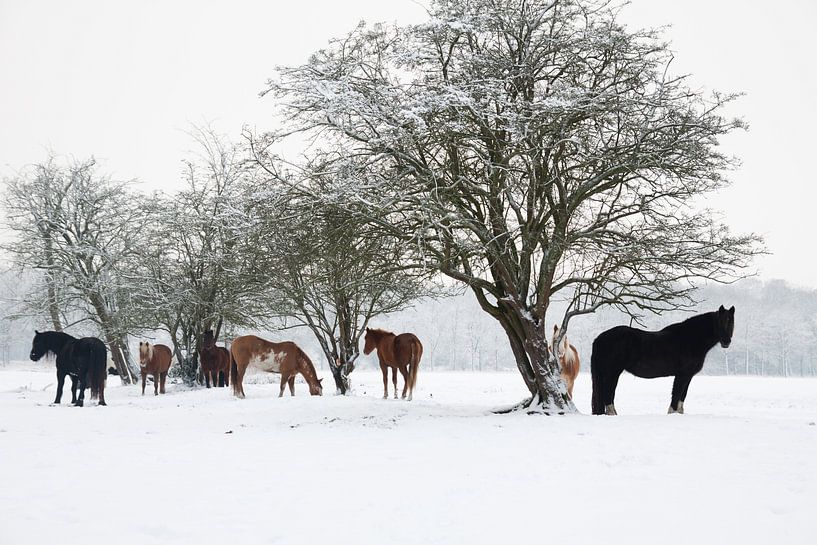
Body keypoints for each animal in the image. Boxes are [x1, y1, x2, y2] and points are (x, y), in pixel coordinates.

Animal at [590, 305, 735, 416]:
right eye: (719, 323)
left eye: (731, 323)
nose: (726, 342)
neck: (690, 339)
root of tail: (599, 338)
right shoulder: (682, 375)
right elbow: (676, 394)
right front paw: (672, 413)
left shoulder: (688, 375)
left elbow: (682, 396)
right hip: (612, 372)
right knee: (608, 393)